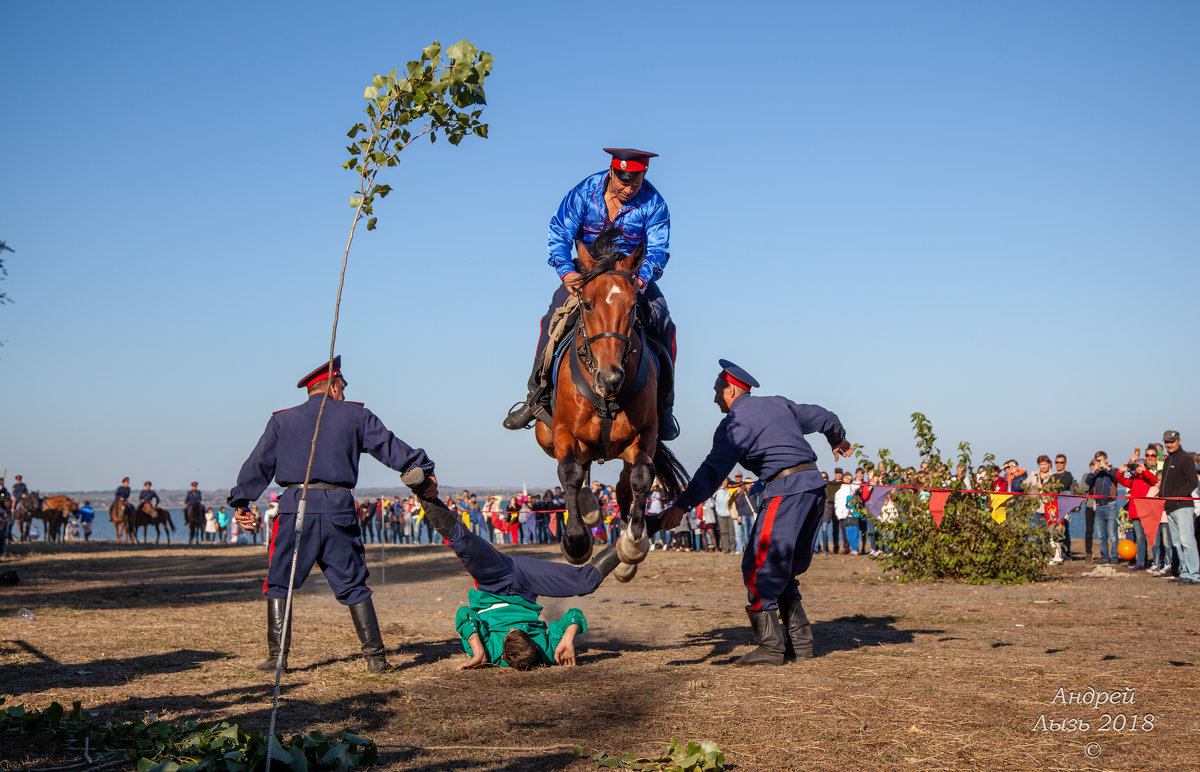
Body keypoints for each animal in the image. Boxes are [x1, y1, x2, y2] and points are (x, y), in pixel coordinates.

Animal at [532, 229, 691, 581]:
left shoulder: (646, 433)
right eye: (588, 304)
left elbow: (641, 477)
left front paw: (633, 544)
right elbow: (569, 472)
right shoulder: (562, 431)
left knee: (621, 484)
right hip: (546, 436)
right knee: (578, 469)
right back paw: (589, 509)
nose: (610, 377)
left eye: (632, 306)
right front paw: (577, 542)